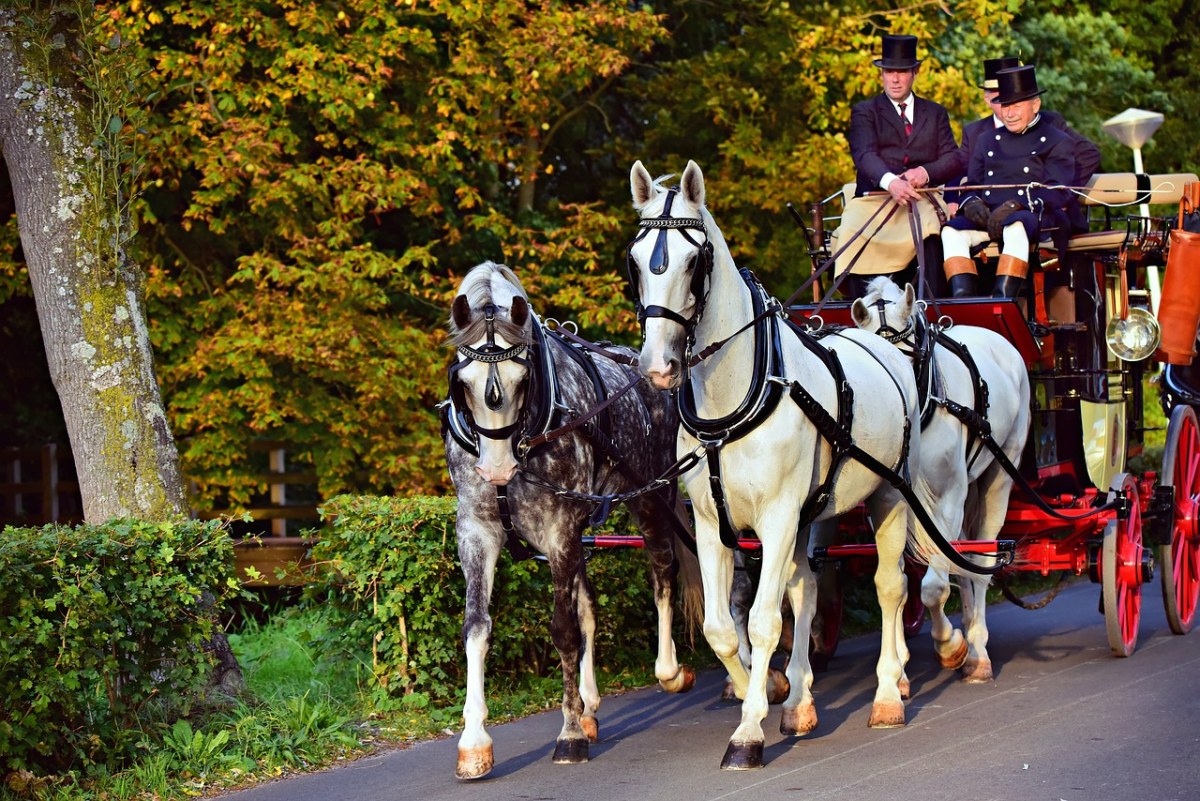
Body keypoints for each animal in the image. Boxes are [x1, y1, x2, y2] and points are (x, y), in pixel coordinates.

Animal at [624, 163, 969, 767]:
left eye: (694, 260)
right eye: (636, 260)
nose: (658, 366)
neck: (739, 394)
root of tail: (881, 342)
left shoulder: (779, 515)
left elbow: (763, 622)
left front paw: (748, 730)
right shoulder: (714, 523)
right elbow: (722, 628)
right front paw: (771, 691)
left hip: (887, 496)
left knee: (891, 587)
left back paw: (888, 692)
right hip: (815, 514)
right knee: (805, 588)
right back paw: (801, 703)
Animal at [854, 276, 1032, 681]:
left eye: (909, 361)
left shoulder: (949, 497)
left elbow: (934, 587)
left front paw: (950, 645)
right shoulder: (888, 502)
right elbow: (900, 579)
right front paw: (900, 669)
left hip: (1000, 475)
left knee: (979, 561)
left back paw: (978, 652)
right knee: (963, 561)